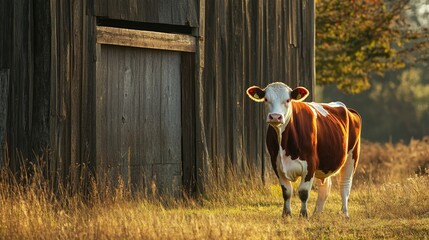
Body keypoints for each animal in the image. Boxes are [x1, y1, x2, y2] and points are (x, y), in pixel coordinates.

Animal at [244, 82, 362, 218]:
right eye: (266, 99)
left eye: (288, 100)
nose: (275, 117)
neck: (284, 144)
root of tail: (348, 109)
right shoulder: (276, 164)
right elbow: (287, 191)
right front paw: (286, 215)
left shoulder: (310, 164)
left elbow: (303, 192)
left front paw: (304, 215)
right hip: (326, 162)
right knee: (325, 187)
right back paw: (317, 214)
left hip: (352, 156)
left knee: (345, 185)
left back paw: (344, 214)